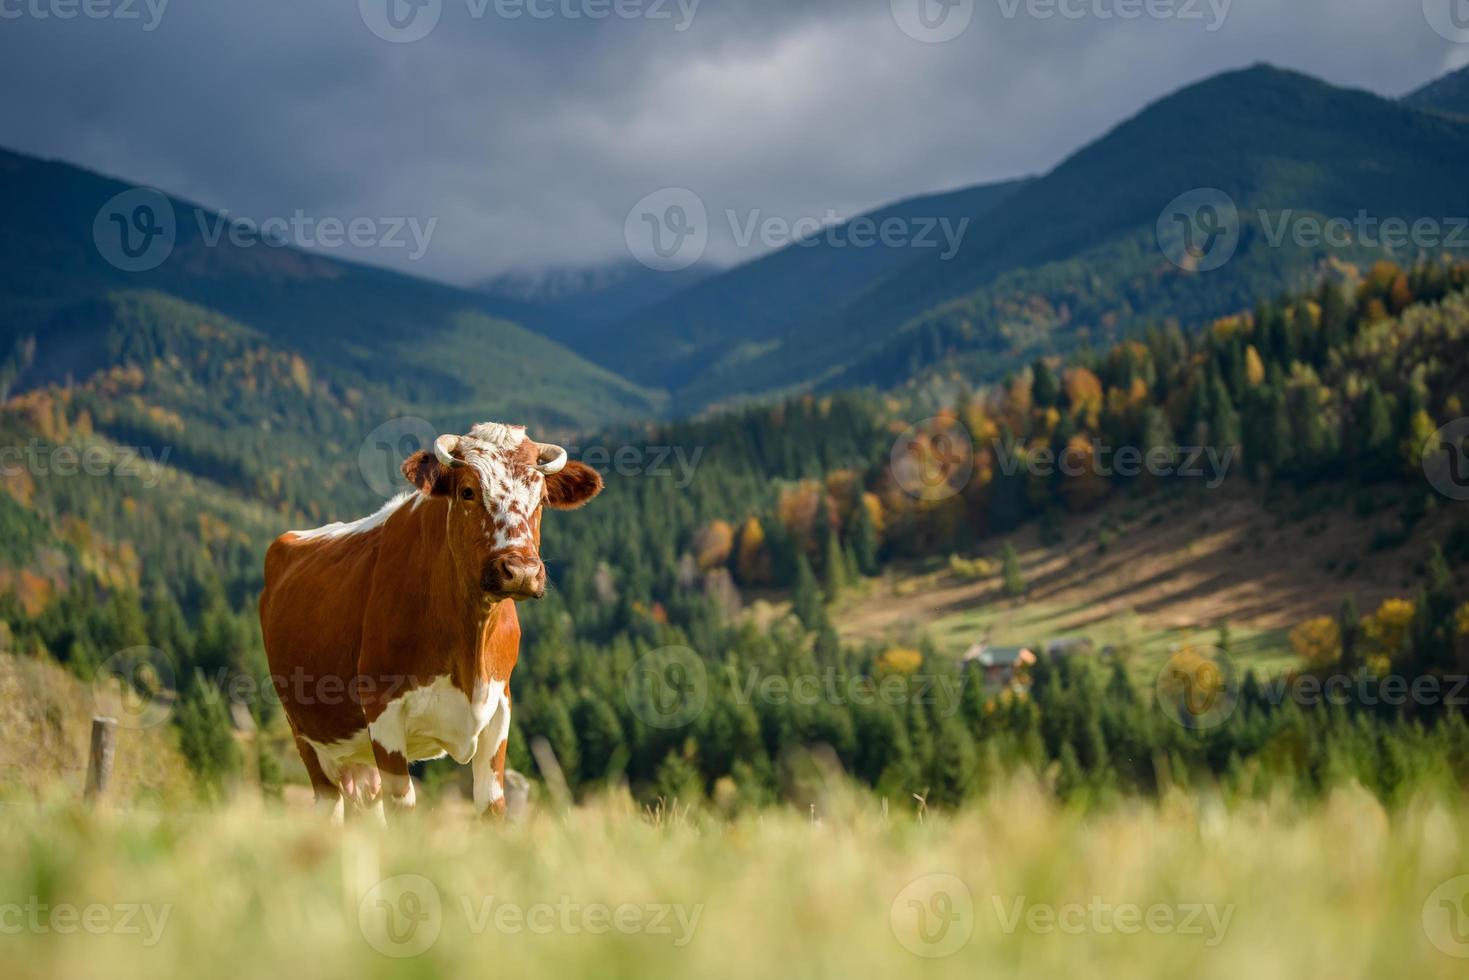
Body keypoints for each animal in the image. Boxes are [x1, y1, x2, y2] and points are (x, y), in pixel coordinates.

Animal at [255, 423, 599, 822]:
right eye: (467, 491)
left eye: (541, 498)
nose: (521, 571)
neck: (469, 650)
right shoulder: (383, 712)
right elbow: (403, 809)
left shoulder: (500, 708)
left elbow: (492, 806)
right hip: (305, 734)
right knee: (331, 804)